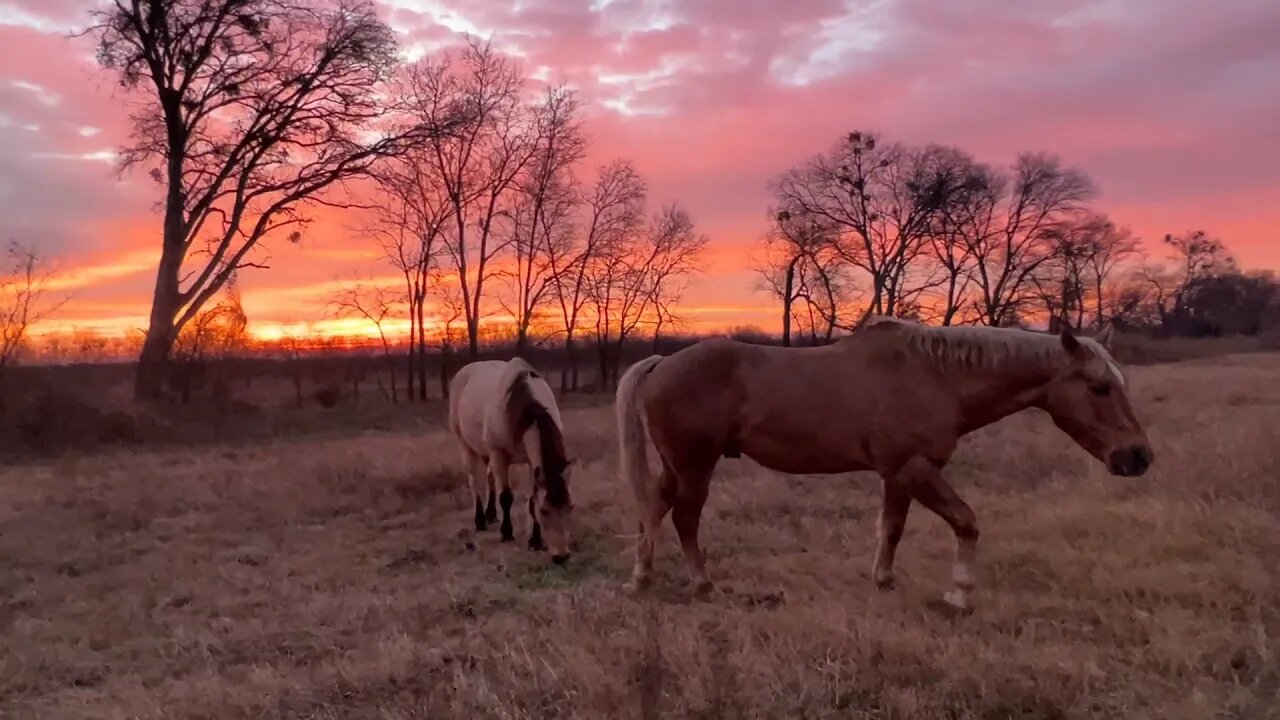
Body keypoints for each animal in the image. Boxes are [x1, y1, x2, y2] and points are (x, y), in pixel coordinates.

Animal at [448, 356, 573, 563]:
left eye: (570, 507)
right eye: (545, 511)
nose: (561, 556)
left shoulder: (531, 464)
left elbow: (531, 500)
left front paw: (534, 541)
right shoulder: (499, 454)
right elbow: (506, 496)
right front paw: (506, 533)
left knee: (489, 476)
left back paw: (491, 514)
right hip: (466, 446)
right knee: (475, 482)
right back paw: (480, 520)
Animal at [614, 316, 1157, 607]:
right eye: (1099, 387)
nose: (1138, 457)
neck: (936, 377)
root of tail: (663, 363)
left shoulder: (898, 475)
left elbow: (891, 529)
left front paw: (885, 580)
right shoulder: (914, 469)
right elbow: (967, 522)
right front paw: (960, 593)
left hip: (677, 467)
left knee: (654, 509)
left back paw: (642, 577)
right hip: (695, 466)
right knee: (684, 517)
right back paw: (702, 583)